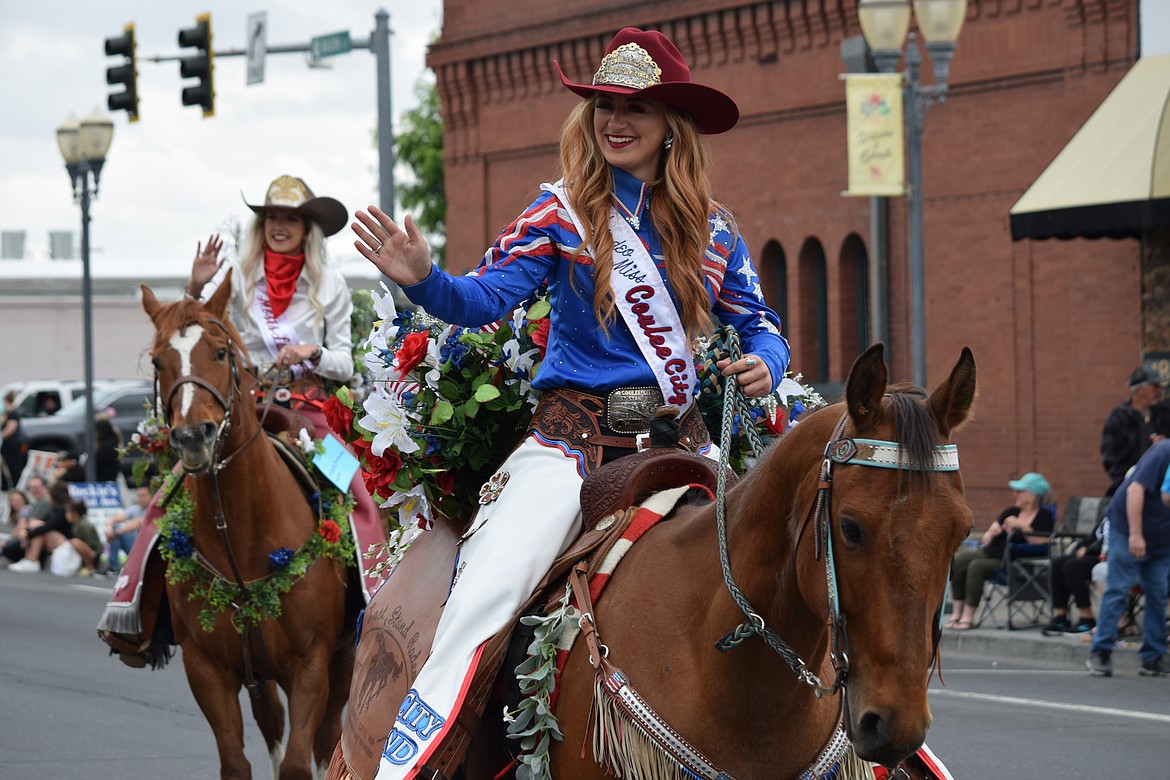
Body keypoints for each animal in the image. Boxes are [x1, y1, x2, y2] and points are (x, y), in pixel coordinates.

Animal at [140, 275, 353, 780]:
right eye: (158, 360)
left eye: (220, 352)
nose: (192, 436)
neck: (240, 534)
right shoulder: (207, 670)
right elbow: (236, 762)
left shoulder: (311, 665)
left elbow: (298, 763)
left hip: (341, 658)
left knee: (328, 737)